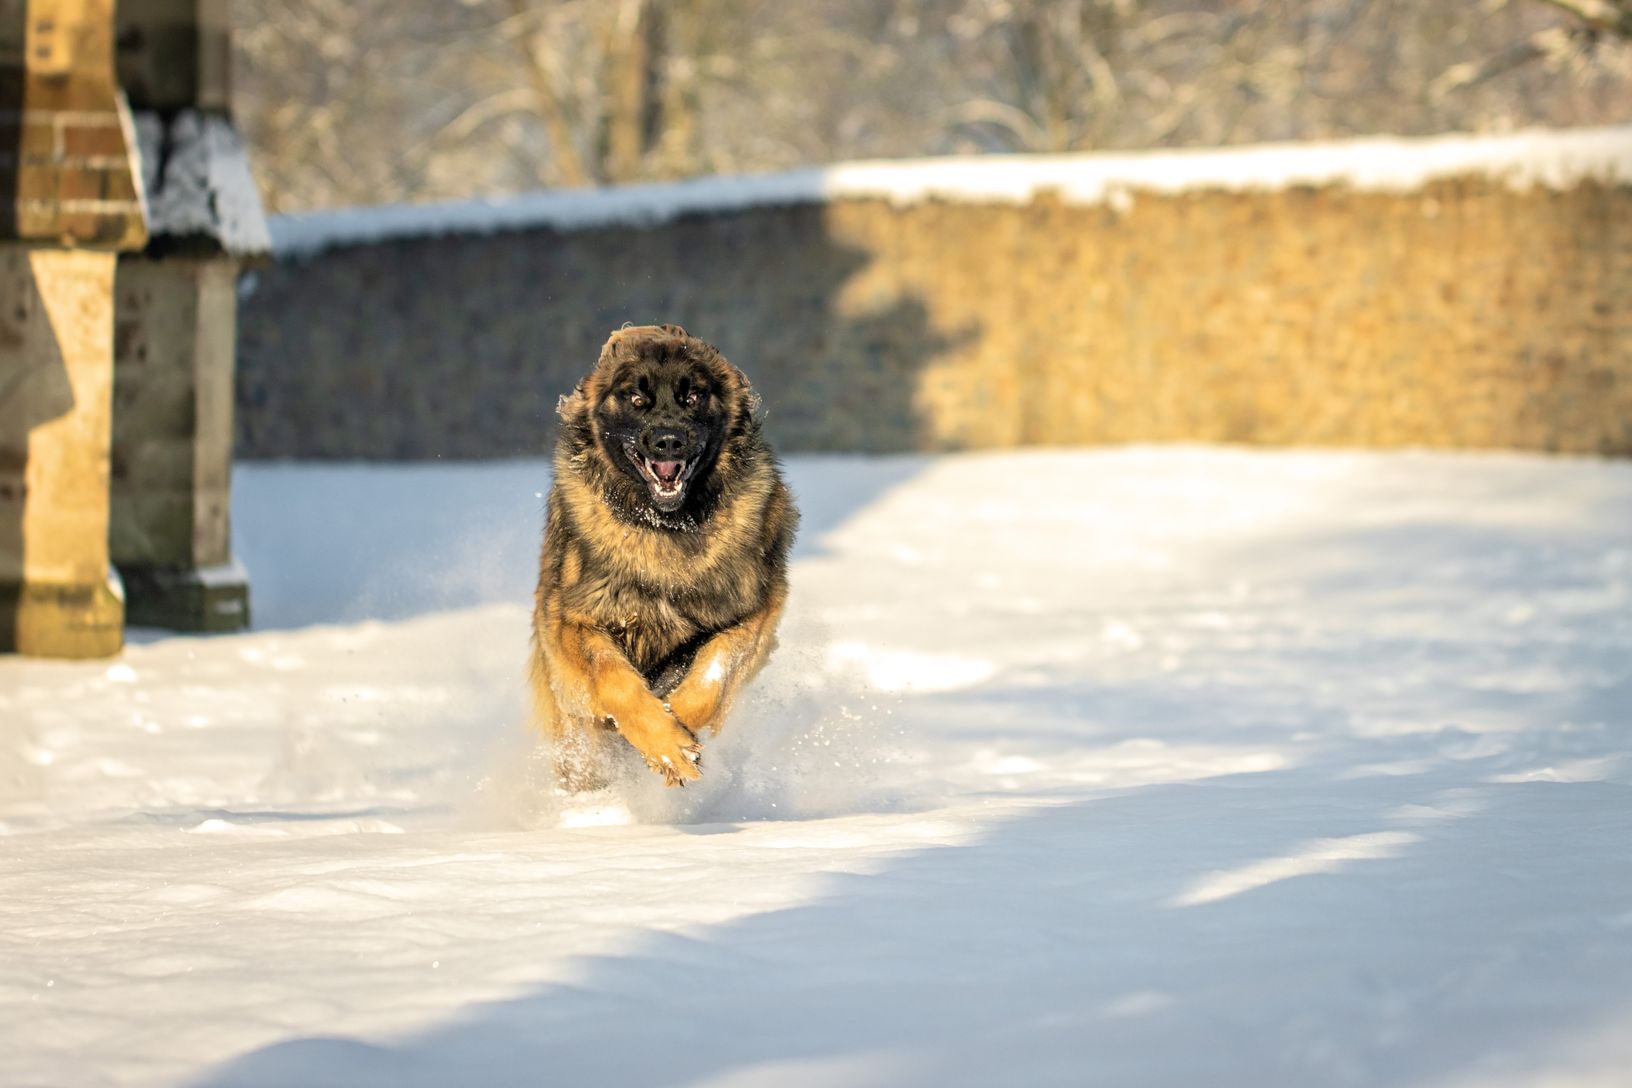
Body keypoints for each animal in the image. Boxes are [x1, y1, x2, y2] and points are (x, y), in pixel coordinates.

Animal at [528, 322, 796, 792]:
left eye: (693, 397)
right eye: (637, 400)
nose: (669, 441)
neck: (666, 527)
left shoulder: (755, 613)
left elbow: (713, 673)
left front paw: (679, 732)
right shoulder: (570, 622)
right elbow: (614, 679)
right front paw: (666, 744)